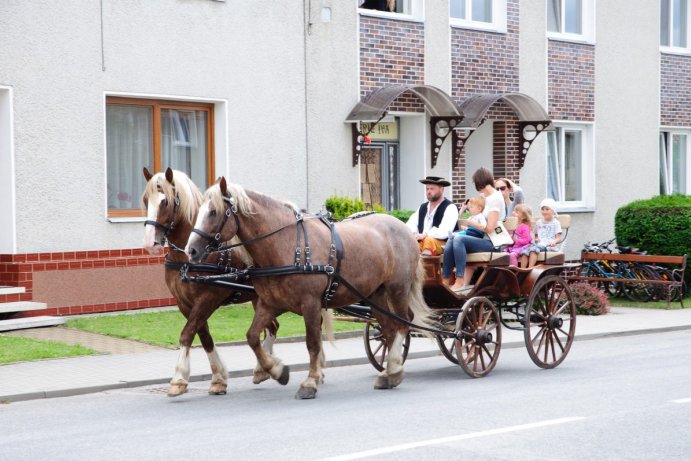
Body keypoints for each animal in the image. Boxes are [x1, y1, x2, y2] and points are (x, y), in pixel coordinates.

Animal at [141, 167, 278, 398]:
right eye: (144, 201)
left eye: (164, 201)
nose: (150, 243)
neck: (185, 257)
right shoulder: (185, 303)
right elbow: (204, 337)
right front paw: (218, 379)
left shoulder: (208, 298)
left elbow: (187, 333)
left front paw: (179, 379)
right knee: (273, 327)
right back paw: (263, 367)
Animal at [182, 177, 432, 398]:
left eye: (213, 212)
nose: (190, 250)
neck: (286, 245)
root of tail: (401, 227)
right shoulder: (270, 303)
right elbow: (252, 337)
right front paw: (277, 370)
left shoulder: (310, 304)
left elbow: (312, 343)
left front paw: (310, 382)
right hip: (375, 294)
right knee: (389, 329)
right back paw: (390, 372)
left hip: (397, 288)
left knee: (403, 324)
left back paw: (394, 369)